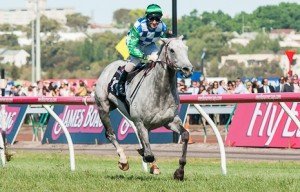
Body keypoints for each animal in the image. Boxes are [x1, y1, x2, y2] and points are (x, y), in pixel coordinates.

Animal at [95, 35, 193, 180]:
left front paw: (179, 172)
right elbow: (149, 155)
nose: (188, 69)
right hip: (103, 107)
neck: (160, 92)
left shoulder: (170, 120)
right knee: (110, 134)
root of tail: (108, 67)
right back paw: (123, 160)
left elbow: (185, 135)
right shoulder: (140, 122)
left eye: (186, 48)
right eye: (172, 50)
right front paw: (145, 157)